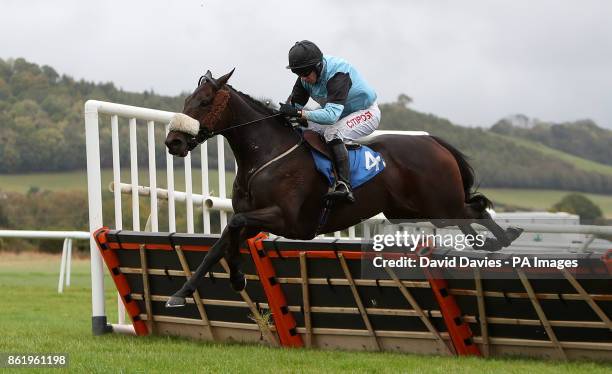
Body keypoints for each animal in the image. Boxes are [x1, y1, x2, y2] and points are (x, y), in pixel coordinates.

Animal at [163, 68, 520, 306]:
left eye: (204, 102)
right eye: (187, 99)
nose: (173, 142)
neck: (265, 154)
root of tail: (433, 141)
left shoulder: (287, 219)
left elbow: (234, 226)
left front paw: (236, 276)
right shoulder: (256, 217)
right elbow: (220, 246)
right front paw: (184, 293)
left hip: (439, 205)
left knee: (475, 209)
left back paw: (502, 238)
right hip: (411, 209)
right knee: (470, 211)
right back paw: (493, 241)